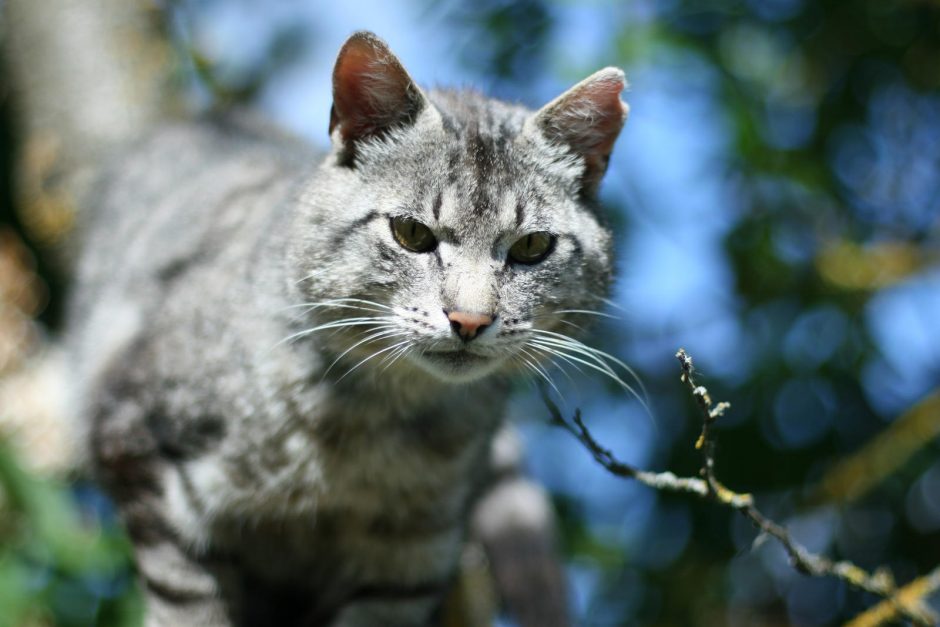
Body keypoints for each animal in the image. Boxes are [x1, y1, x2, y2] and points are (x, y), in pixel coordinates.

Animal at [64, 30, 632, 627]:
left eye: (531, 247)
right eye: (411, 234)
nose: (470, 319)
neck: (367, 432)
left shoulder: (408, 563)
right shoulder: (138, 450)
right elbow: (190, 606)